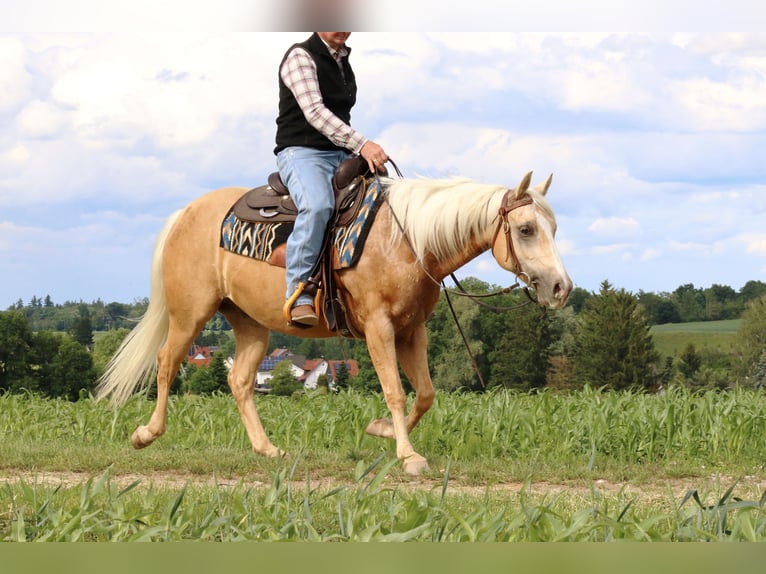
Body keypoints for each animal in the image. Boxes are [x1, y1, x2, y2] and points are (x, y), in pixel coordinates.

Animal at [96, 170, 572, 476]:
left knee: (240, 381)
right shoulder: (379, 328)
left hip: (250, 323)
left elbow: (425, 394)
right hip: (189, 313)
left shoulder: (411, 330)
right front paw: (408, 455)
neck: (406, 240)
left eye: (552, 227)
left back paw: (267, 449)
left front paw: (381, 430)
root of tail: (185, 212)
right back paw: (146, 434)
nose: (561, 288)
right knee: (166, 362)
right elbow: (396, 391)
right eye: (526, 229)